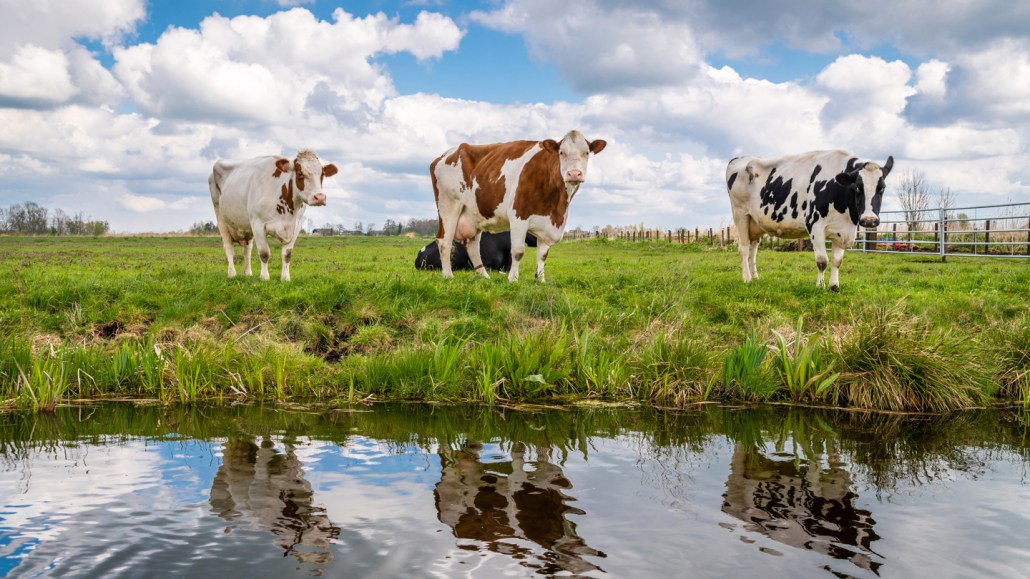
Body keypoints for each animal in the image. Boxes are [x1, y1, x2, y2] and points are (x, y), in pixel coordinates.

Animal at [209, 150, 337, 281]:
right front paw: (265, 277)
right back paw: (232, 273)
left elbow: (287, 254)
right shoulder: (258, 224)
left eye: (322, 174)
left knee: (247, 250)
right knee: (228, 247)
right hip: (220, 216)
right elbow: (264, 253)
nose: (320, 197)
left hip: (246, 227)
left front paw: (285, 278)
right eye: (300, 173)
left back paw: (248, 273)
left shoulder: (296, 225)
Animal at [430, 130, 606, 282]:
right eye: (561, 152)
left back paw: (484, 277)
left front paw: (541, 280)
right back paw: (448, 276)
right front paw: (513, 279)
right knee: (444, 241)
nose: (574, 173)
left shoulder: (547, 221)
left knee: (473, 246)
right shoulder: (519, 216)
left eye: (587, 153)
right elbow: (518, 251)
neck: (557, 208)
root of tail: (444, 155)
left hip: (473, 213)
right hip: (448, 206)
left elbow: (543, 254)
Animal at [726, 150, 894, 291]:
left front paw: (834, 286)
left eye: (882, 188)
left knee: (753, 250)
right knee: (744, 249)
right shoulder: (815, 225)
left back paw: (755, 277)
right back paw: (747, 279)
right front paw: (820, 286)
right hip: (740, 214)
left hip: (755, 223)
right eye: (857, 187)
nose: (870, 220)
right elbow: (822, 261)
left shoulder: (842, 231)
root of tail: (740, 158)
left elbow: (837, 261)